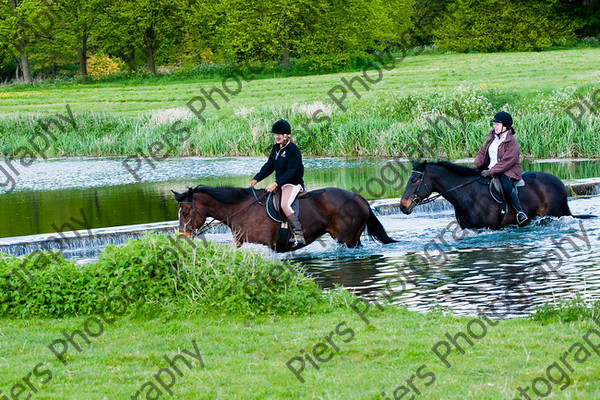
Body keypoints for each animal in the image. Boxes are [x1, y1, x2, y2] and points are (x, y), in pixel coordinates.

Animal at [172, 185, 398, 253]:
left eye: (186, 213)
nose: (182, 236)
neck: (241, 210)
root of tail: (359, 198)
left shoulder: (265, 245)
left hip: (347, 239)